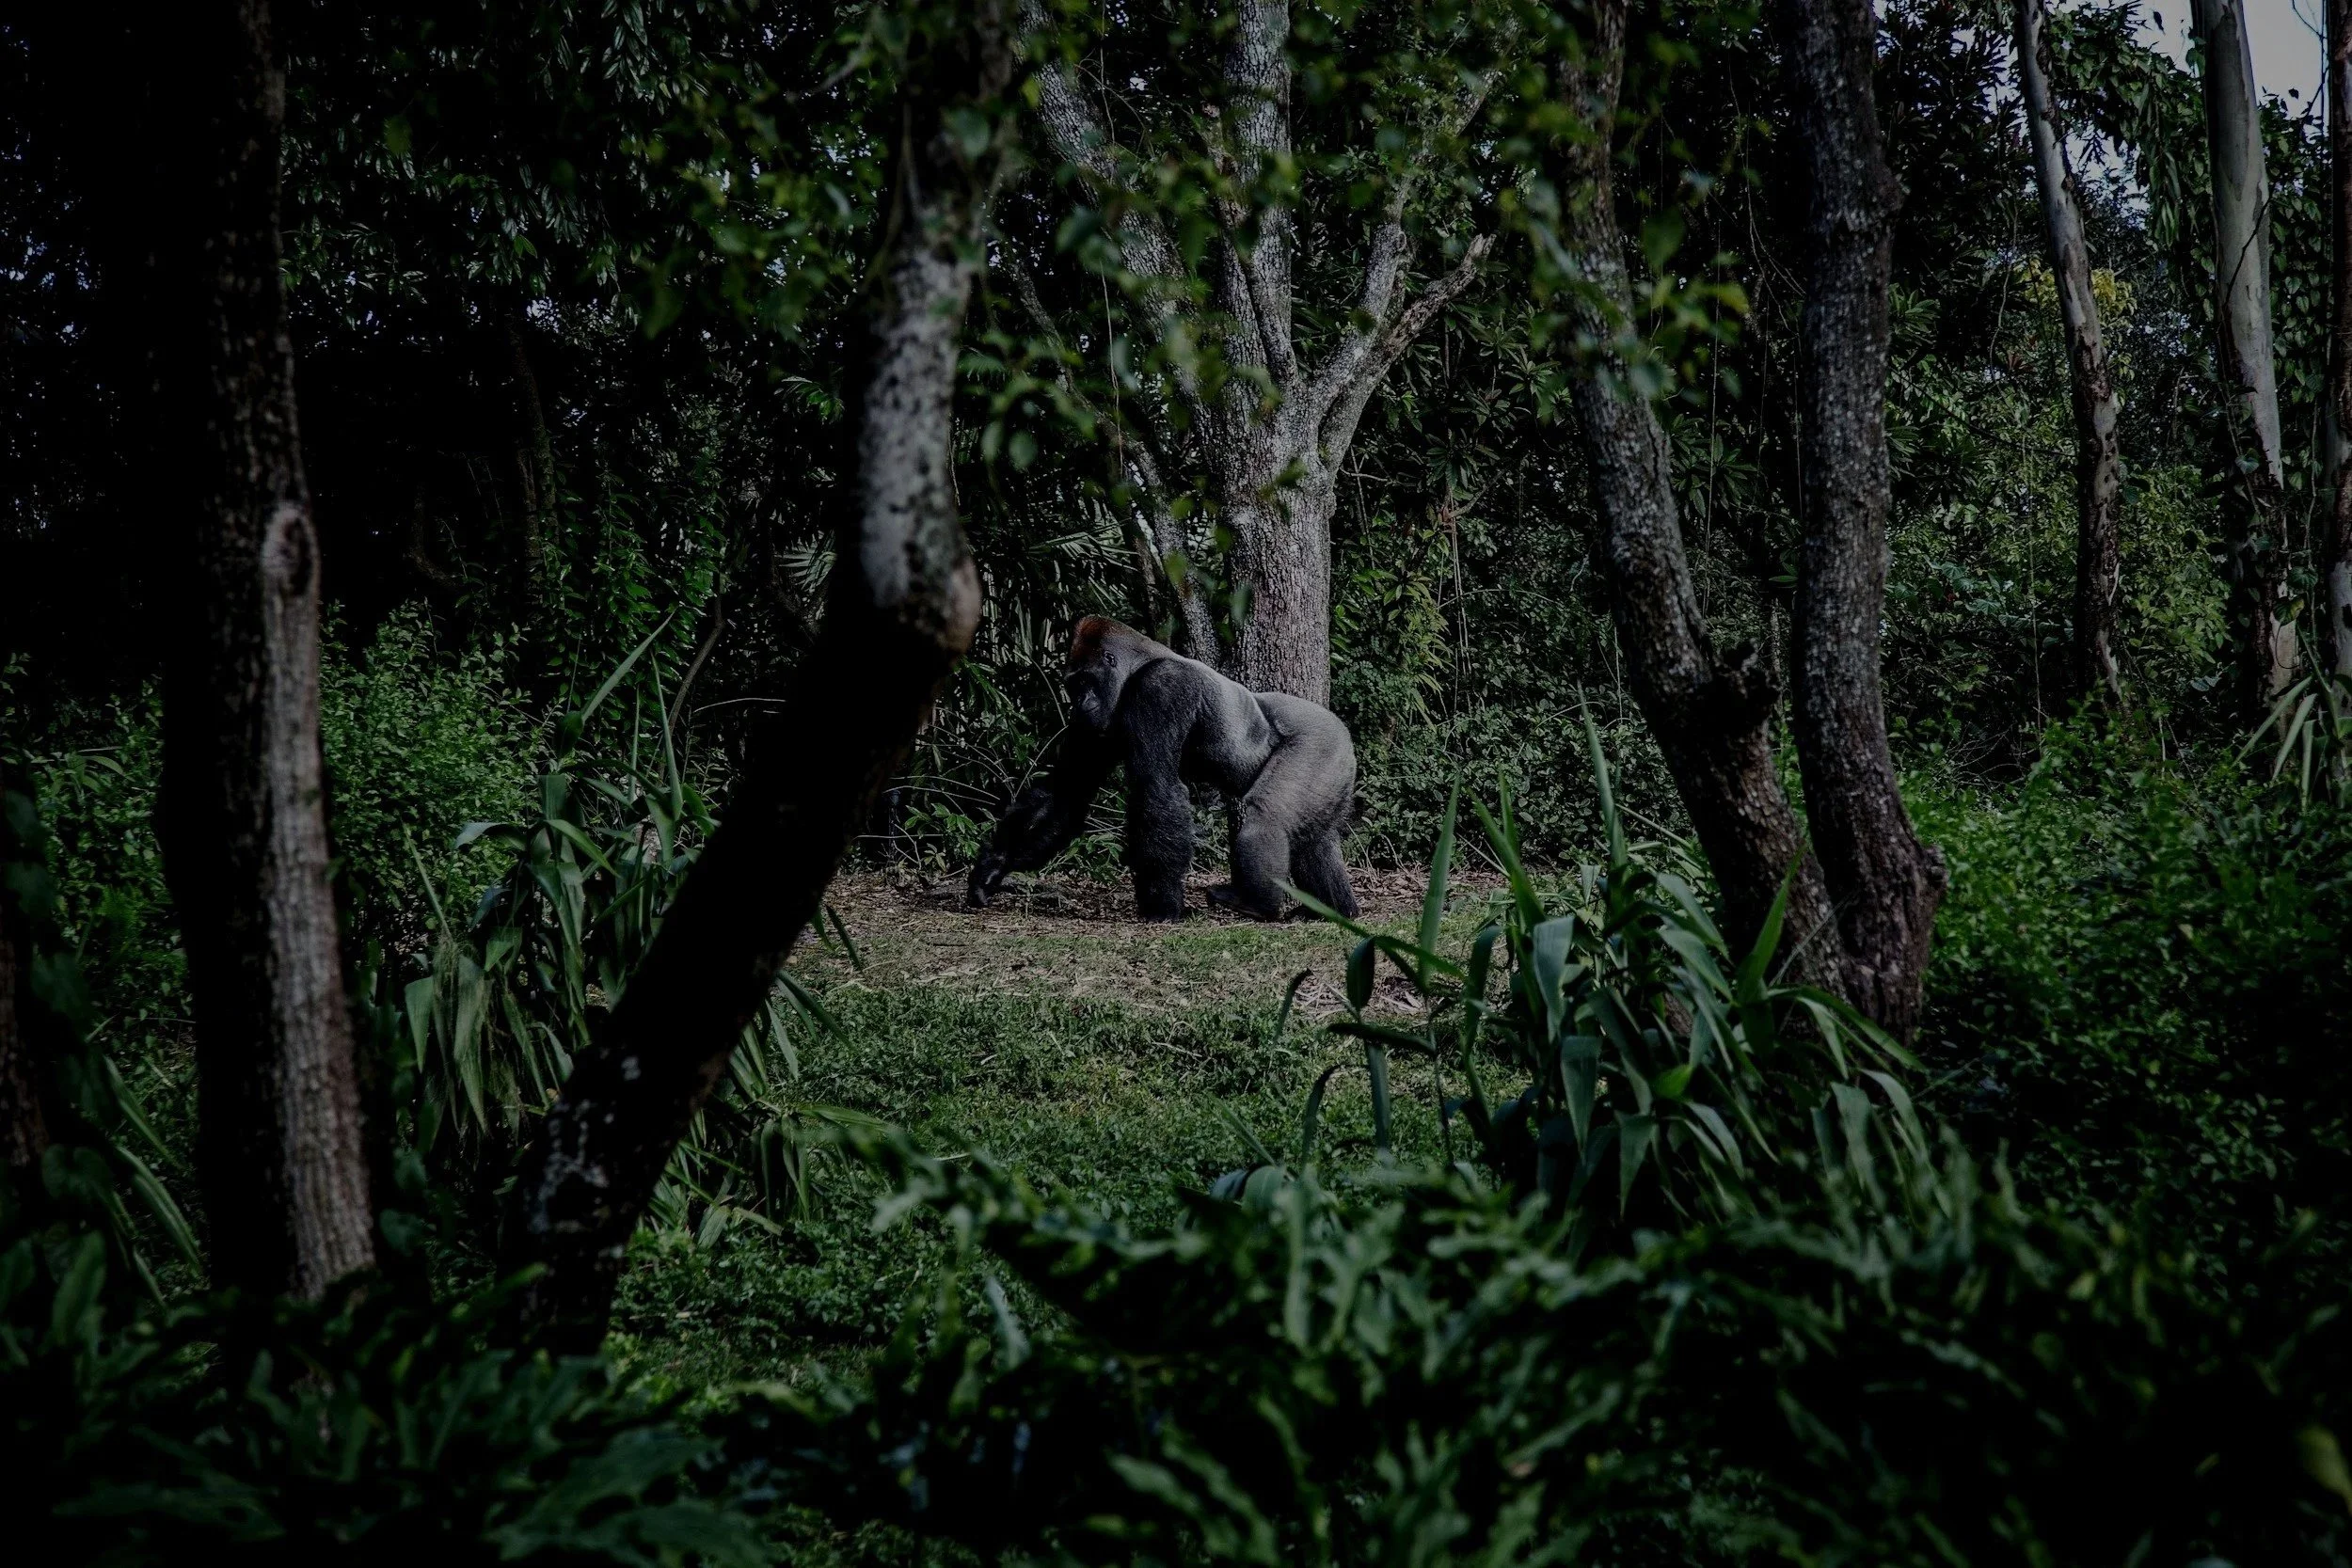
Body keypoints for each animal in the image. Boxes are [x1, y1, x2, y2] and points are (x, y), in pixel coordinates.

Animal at [968, 617, 1360, 921]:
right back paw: (1335, 909)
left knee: (1268, 814)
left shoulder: (1161, 688)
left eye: (1085, 682)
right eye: (1072, 686)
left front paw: (1162, 905)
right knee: (1313, 839)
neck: (1138, 665)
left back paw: (1257, 904)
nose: (1078, 704)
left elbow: (1155, 787)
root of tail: (1344, 732)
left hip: (1320, 742)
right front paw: (994, 865)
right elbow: (1066, 792)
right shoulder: (1093, 724)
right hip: (1334, 765)